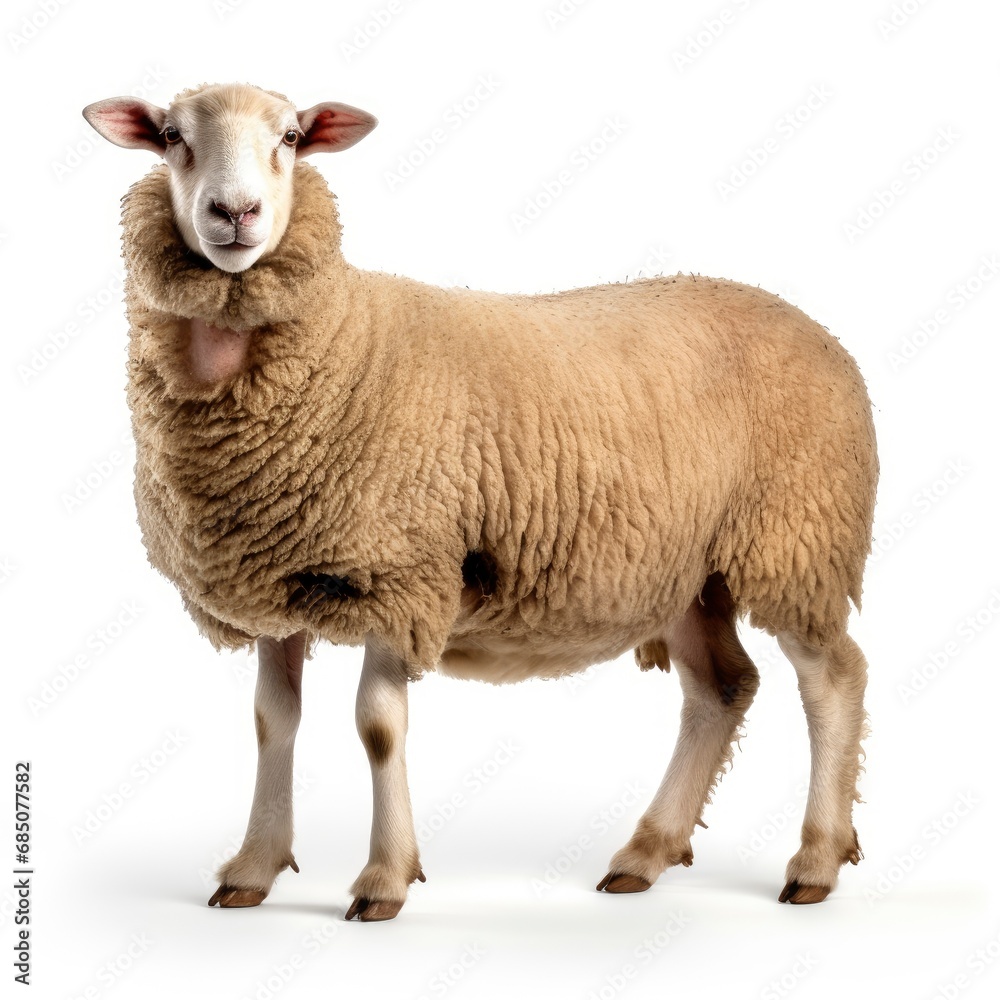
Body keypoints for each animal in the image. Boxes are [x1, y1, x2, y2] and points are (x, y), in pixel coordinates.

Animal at [83, 82, 878, 921]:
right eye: (172, 137)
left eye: (291, 138)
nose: (234, 213)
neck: (339, 341)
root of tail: (822, 333)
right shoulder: (281, 580)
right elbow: (274, 722)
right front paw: (253, 868)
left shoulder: (404, 573)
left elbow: (377, 728)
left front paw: (383, 880)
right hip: (689, 569)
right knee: (721, 689)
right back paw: (647, 854)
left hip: (797, 537)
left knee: (833, 678)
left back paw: (816, 861)